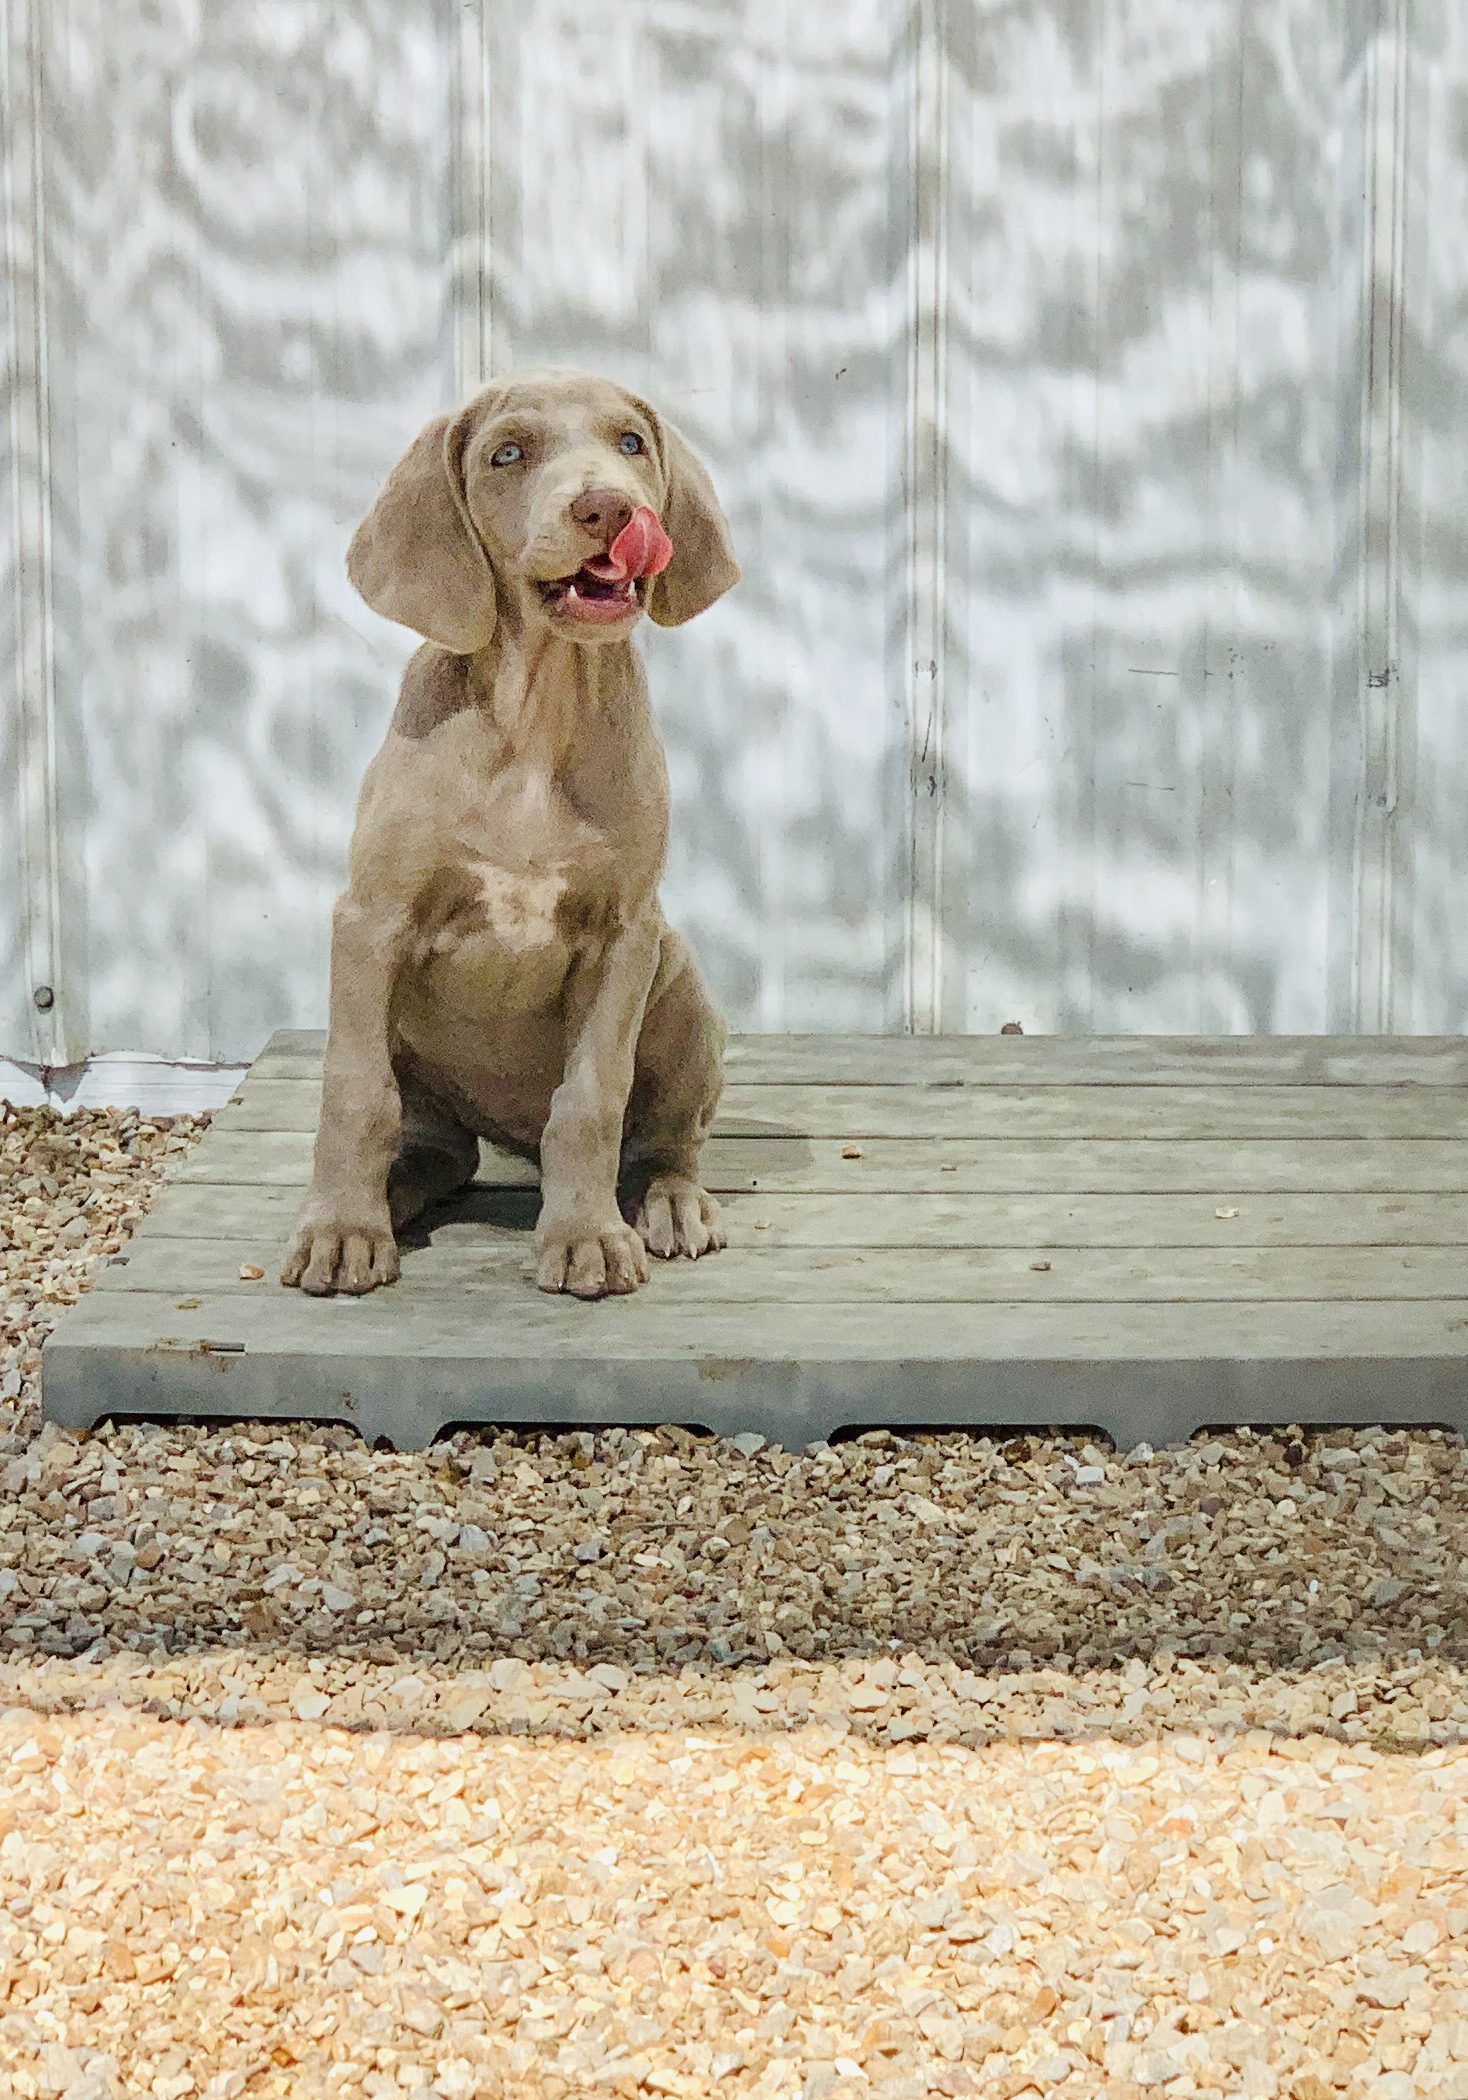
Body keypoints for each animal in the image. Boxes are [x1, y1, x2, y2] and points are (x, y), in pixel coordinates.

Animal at [279, 369, 735, 1302]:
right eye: (508, 453)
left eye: (631, 442)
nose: (609, 508)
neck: (536, 717)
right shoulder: (370, 919)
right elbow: (353, 1095)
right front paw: (341, 1229)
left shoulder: (625, 935)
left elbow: (592, 1100)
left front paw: (587, 1234)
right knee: (433, 1146)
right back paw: (391, 1195)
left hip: (679, 986)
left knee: (665, 1138)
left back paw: (671, 1202)